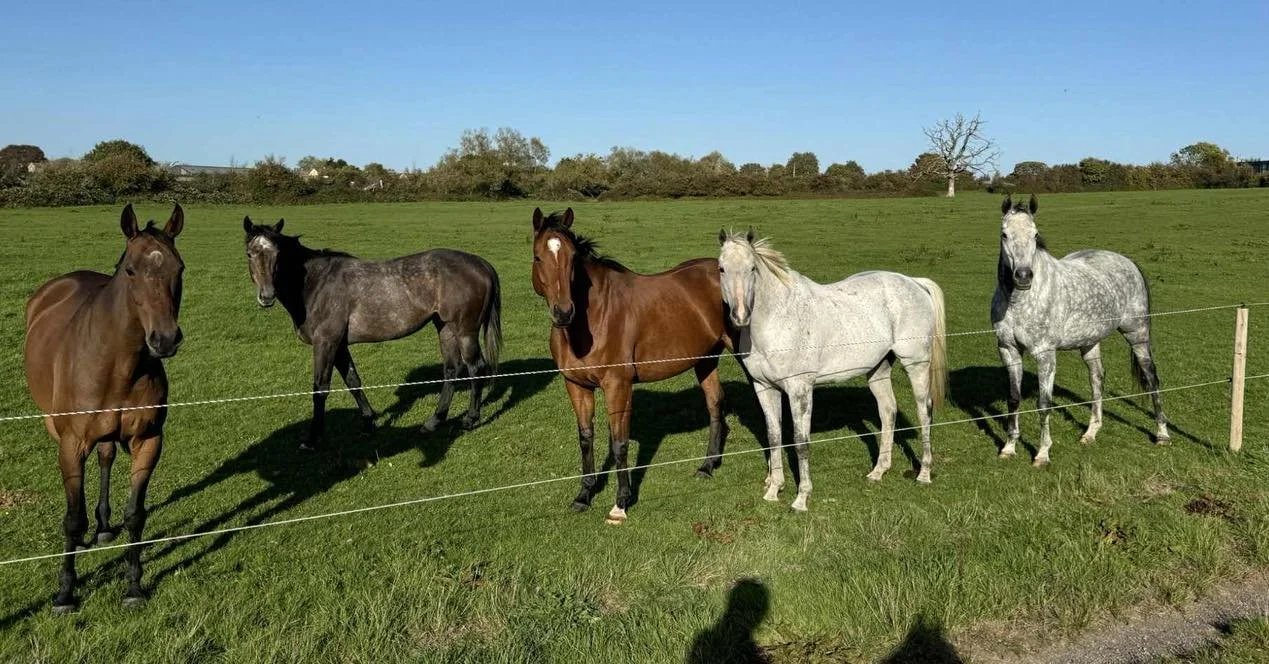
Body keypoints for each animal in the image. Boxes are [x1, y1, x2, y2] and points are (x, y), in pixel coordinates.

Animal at [23, 204, 185, 613]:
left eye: (179, 268)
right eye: (131, 270)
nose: (164, 339)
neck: (117, 362)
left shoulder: (149, 440)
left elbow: (136, 515)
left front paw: (133, 586)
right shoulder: (71, 445)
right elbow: (71, 519)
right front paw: (65, 592)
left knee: (107, 457)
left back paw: (103, 527)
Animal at [242, 217, 501, 449]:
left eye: (278, 254)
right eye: (250, 253)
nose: (266, 296)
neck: (316, 284)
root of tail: (480, 263)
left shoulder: (325, 342)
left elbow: (320, 389)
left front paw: (312, 439)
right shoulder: (339, 345)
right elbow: (353, 381)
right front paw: (368, 423)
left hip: (465, 331)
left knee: (475, 369)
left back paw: (470, 419)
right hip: (445, 328)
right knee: (451, 370)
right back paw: (433, 421)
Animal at [530, 208, 735, 524]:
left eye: (573, 258)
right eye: (538, 256)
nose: (563, 312)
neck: (594, 317)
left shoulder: (618, 386)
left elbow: (619, 443)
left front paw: (621, 502)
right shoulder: (576, 385)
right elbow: (586, 438)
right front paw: (583, 495)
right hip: (706, 359)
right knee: (715, 403)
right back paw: (707, 466)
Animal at [718, 229, 947, 512]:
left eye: (752, 268)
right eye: (721, 268)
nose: (740, 316)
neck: (777, 320)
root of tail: (915, 283)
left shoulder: (799, 389)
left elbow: (801, 441)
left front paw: (801, 498)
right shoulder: (765, 388)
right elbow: (774, 437)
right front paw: (773, 490)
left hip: (916, 364)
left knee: (924, 412)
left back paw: (924, 473)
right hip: (878, 369)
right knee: (888, 412)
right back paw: (878, 471)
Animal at [993, 194, 1169, 466]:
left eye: (1035, 234)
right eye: (1004, 234)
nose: (1023, 276)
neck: (1019, 301)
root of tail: (1128, 262)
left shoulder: (1045, 354)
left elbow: (1044, 403)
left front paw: (1042, 454)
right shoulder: (1008, 350)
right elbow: (1014, 398)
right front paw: (1009, 448)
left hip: (1137, 336)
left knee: (1151, 378)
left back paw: (1162, 434)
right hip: (1090, 342)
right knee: (1097, 379)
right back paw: (1090, 433)